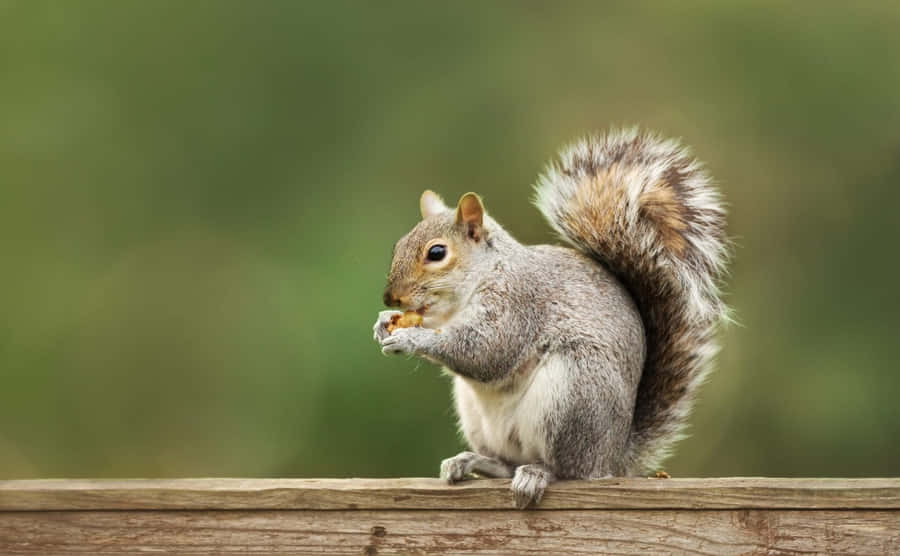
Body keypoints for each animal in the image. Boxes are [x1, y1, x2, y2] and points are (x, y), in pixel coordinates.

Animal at [373, 128, 729, 509]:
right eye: (398, 246)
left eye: (437, 252)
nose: (391, 297)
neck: (477, 281)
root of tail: (613, 456)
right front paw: (386, 321)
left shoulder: (518, 304)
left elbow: (486, 352)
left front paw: (411, 338)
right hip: (479, 416)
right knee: (506, 464)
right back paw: (472, 462)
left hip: (573, 394)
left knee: (567, 469)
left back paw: (537, 474)